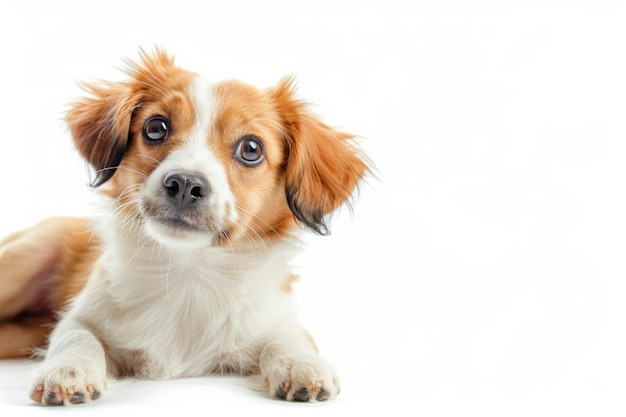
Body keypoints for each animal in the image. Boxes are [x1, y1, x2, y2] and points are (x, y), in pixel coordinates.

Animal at [0, 48, 366, 404]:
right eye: (155, 127)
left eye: (251, 149)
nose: (186, 184)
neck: (188, 270)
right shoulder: (82, 315)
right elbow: (76, 334)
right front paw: (67, 370)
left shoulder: (275, 317)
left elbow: (289, 337)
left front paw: (300, 364)